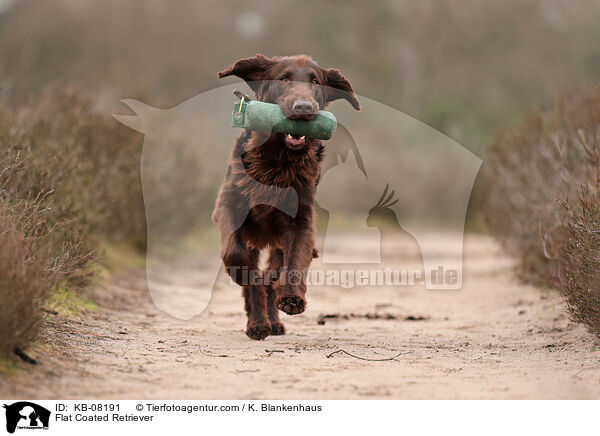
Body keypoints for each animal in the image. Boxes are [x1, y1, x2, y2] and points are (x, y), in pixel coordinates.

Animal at [213, 54, 358, 340]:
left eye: (315, 82)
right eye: (283, 79)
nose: (304, 108)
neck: (278, 162)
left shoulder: (300, 219)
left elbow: (295, 261)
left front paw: (291, 298)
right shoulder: (229, 204)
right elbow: (236, 254)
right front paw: (240, 272)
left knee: (272, 272)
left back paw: (272, 320)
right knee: (256, 277)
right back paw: (258, 324)